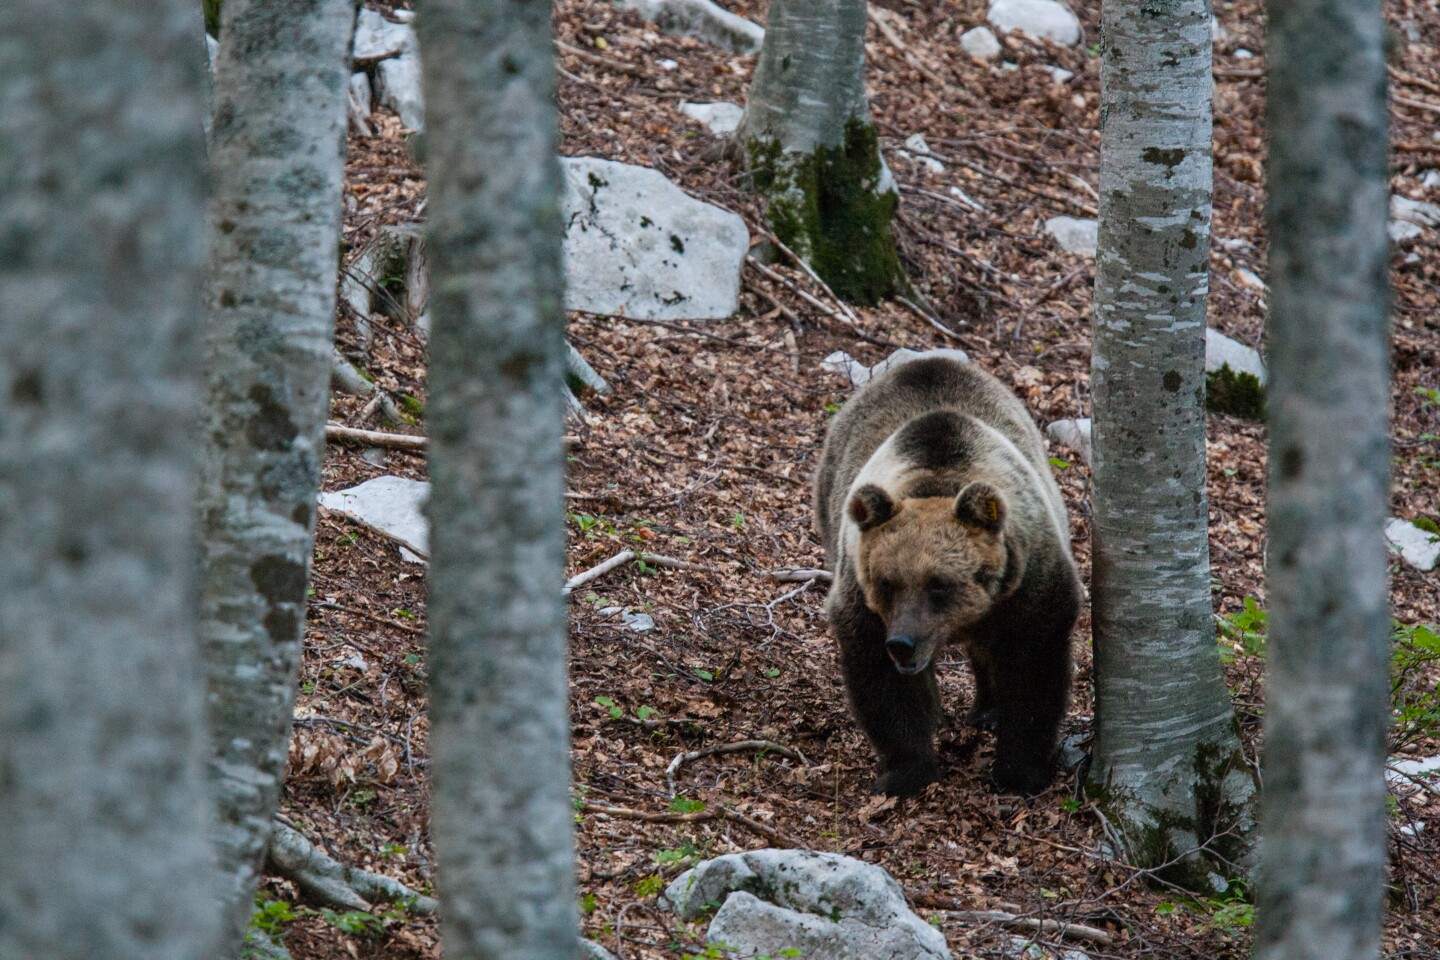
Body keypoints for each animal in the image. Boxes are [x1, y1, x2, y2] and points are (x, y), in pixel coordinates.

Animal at [817, 352, 1077, 794]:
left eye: (938, 584)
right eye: (886, 582)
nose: (902, 644)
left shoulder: (1029, 583)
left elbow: (1032, 670)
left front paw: (1019, 771)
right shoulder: (862, 598)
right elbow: (884, 681)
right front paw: (907, 770)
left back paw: (987, 710)